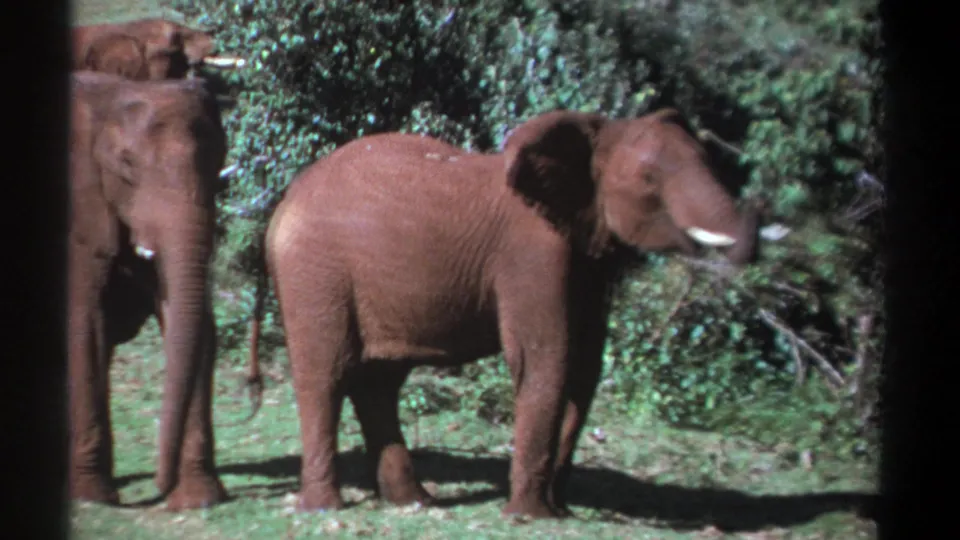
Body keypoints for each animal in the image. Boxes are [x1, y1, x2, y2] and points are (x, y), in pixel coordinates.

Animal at [68, 71, 230, 511]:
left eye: (218, 160)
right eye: (126, 164)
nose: (158, 486)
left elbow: (189, 321)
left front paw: (197, 500)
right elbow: (85, 324)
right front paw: (93, 497)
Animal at [244, 108, 760, 519]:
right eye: (650, 181)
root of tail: (282, 204)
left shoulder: (586, 262)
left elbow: (584, 369)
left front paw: (558, 510)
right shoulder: (532, 254)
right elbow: (545, 359)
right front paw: (530, 517)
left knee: (379, 383)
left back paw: (415, 502)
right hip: (315, 272)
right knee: (326, 375)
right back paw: (324, 508)